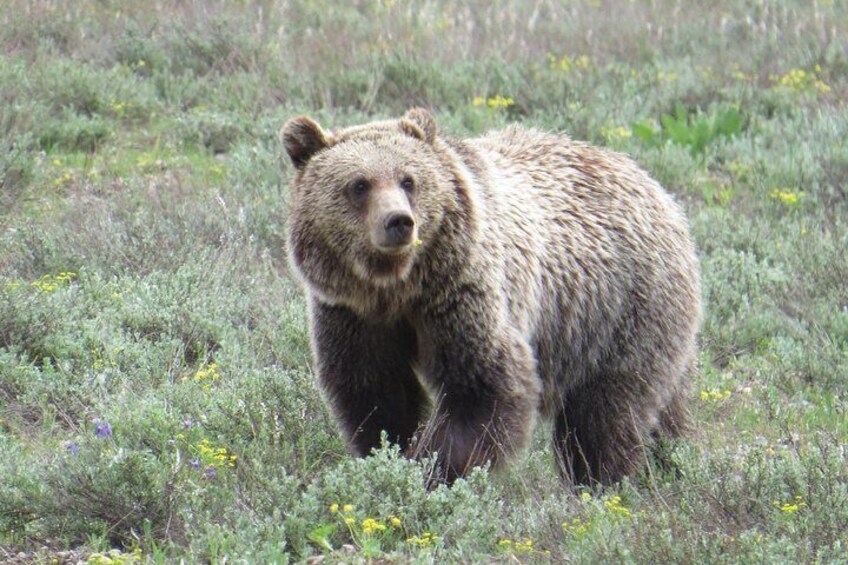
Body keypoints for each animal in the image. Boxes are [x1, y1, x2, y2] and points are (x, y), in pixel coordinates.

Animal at [282, 109, 700, 484]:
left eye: (408, 180)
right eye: (359, 184)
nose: (399, 221)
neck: (399, 287)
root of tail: (656, 187)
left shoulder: (462, 295)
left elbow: (482, 388)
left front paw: (435, 471)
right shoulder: (353, 314)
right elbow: (376, 391)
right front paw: (390, 454)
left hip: (617, 310)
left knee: (605, 412)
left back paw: (598, 481)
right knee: (663, 405)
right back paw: (673, 458)